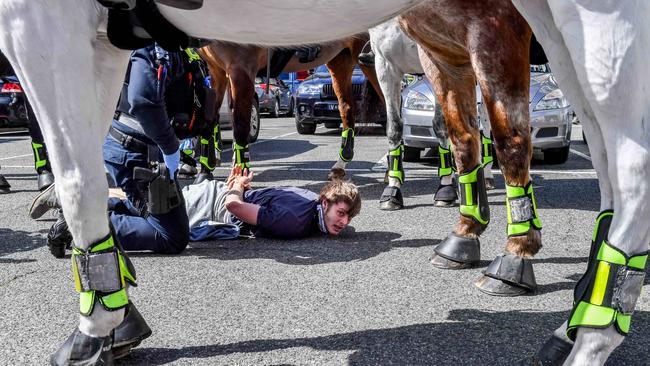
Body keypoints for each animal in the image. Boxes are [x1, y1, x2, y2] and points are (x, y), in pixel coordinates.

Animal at [197, 35, 380, 179]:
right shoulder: (217, 72)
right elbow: (210, 119)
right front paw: (205, 171)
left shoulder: (241, 70)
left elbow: (241, 127)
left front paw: (239, 175)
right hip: (340, 60)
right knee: (347, 107)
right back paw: (341, 164)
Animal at [398, 0, 540, 298]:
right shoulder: (441, 54)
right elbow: (462, 140)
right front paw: (466, 230)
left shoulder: (498, 31)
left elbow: (511, 143)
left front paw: (518, 249)